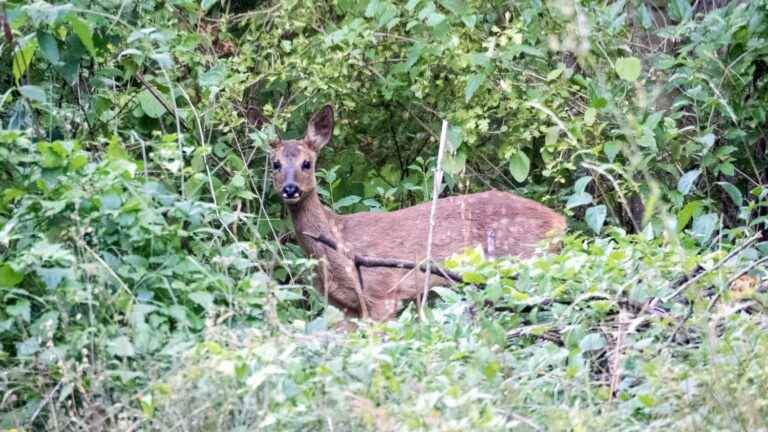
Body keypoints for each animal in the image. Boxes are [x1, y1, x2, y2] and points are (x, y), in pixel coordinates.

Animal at [264, 104, 564, 320]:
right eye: (275, 164)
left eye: (307, 163)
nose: (290, 189)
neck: (337, 242)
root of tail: (560, 222)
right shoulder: (348, 307)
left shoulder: (382, 292)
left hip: (526, 263)